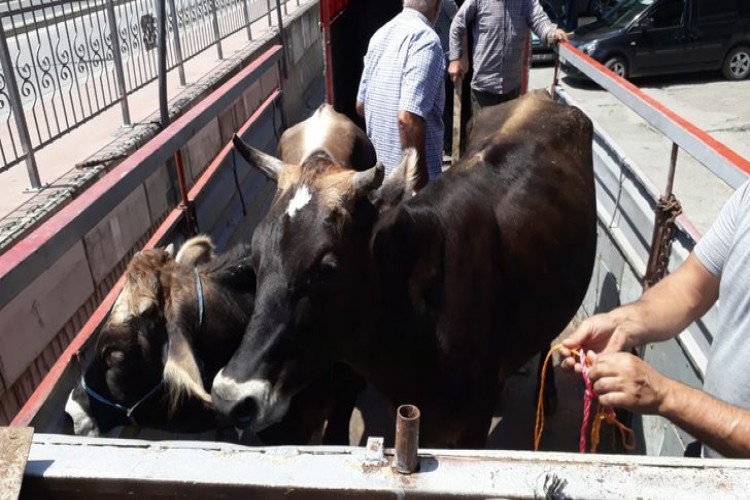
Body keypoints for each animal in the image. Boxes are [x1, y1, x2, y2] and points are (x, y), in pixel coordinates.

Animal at [214, 92, 596, 448]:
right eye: (256, 257)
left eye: (327, 268)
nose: (231, 396)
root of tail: (539, 97)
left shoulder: (474, 424)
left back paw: (548, 396)